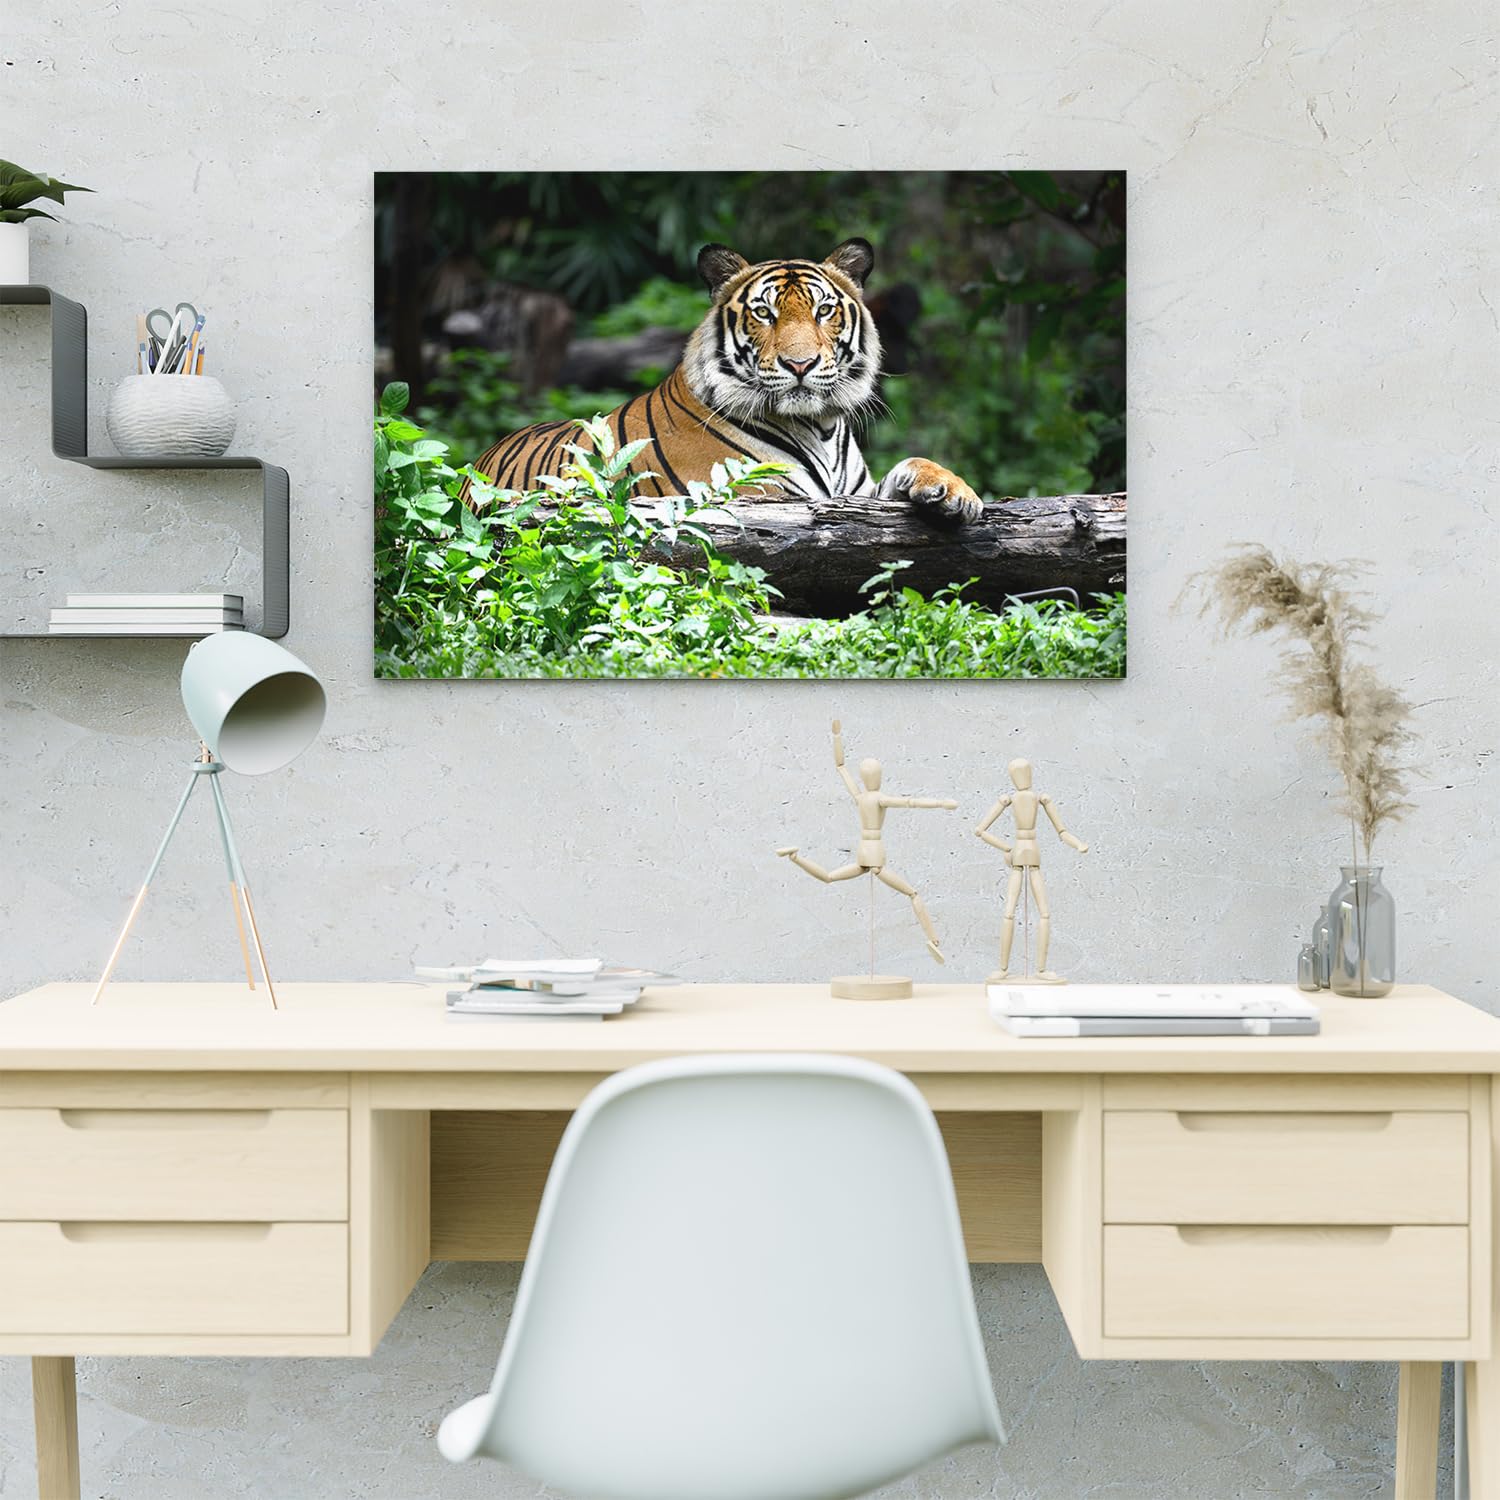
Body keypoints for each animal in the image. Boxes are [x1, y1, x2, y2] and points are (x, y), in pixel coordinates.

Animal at [464, 237, 984, 522]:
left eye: (823, 310)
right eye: (764, 313)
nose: (800, 364)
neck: (820, 427)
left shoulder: (855, 496)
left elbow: (912, 464)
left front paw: (955, 492)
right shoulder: (756, 497)